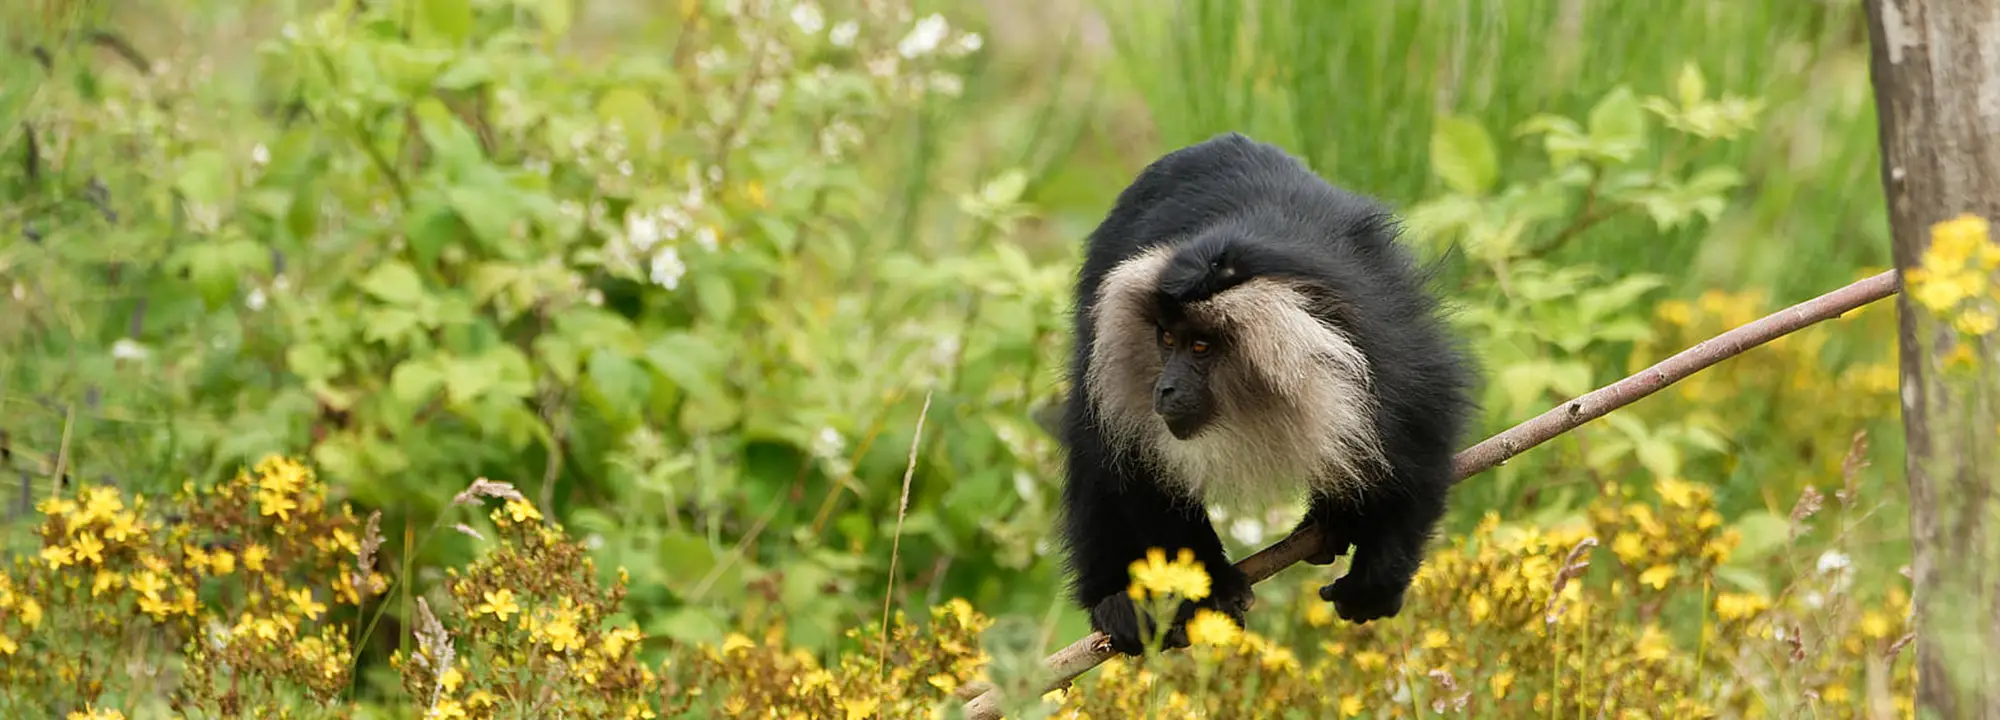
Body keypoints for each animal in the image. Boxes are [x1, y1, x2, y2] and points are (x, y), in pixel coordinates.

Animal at [1056, 132, 1479, 655]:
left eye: (1200, 347)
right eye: (1167, 340)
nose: (1165, 387)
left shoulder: (1387, 352)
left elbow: (1419, 446)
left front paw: (1377, 579)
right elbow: (1134, 471)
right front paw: (1209, 585)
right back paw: (1117, 602)